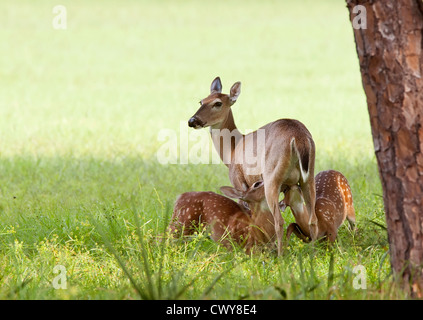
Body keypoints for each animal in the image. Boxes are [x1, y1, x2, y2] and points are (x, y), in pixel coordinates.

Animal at [189, 76, 318, 254]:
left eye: (217, 103)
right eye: (201, 101)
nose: (192, 121)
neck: (232, 151)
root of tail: (298, 137)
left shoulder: (238, 181)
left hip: (272, 178)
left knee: (279, 221)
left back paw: (280, 255)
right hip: (308, 176)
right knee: (313, 218)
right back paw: (315, 253)